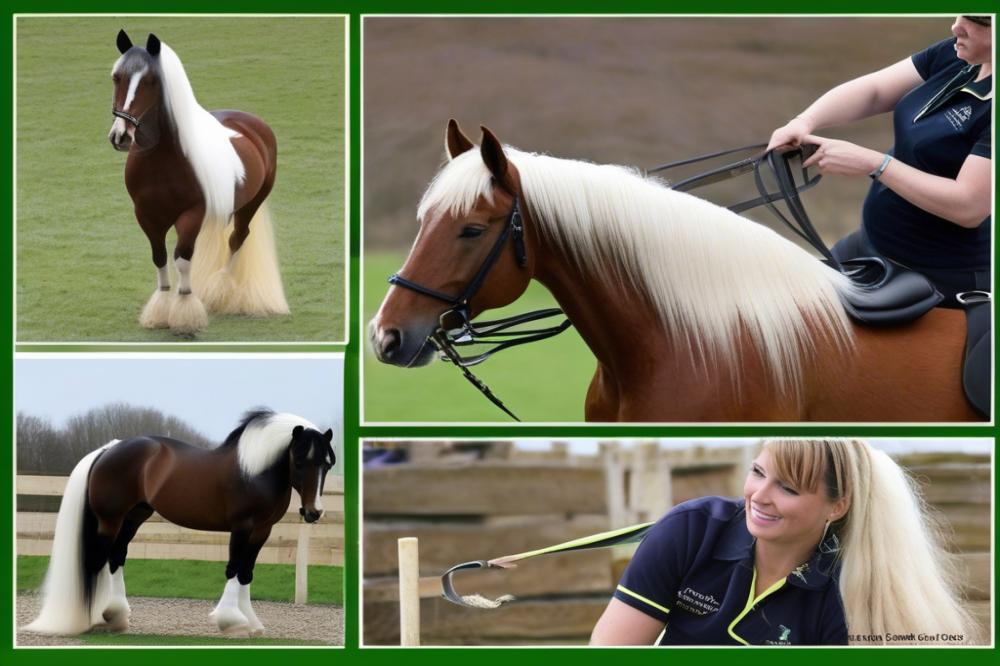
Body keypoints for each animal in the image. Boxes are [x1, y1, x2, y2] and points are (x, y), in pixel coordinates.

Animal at [22, 408, 336, 636]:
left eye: (327, 464)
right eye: (298, 462)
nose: (313, 512)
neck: (254, 472)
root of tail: (109, 449)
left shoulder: (262, 530)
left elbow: (246, 572)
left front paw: (252, 623)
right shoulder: (242, 527)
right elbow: (234, 568)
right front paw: (230, 621)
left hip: (134, 516)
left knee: (116, 557)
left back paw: (117, 616)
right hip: (109, 519)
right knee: (99, 559)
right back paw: (96, 618)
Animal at [110, 30, 290, 332]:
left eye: (150, 81)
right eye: (116, 77)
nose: (120, 136)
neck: (162, 162)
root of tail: (253, 123)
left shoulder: (192, 213)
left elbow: (183, 258)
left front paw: (184, 311)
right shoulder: (147, 215)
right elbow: (160, 257)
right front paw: (161, 307)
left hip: (252, 203)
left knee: (237, 238)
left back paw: (222, 289)